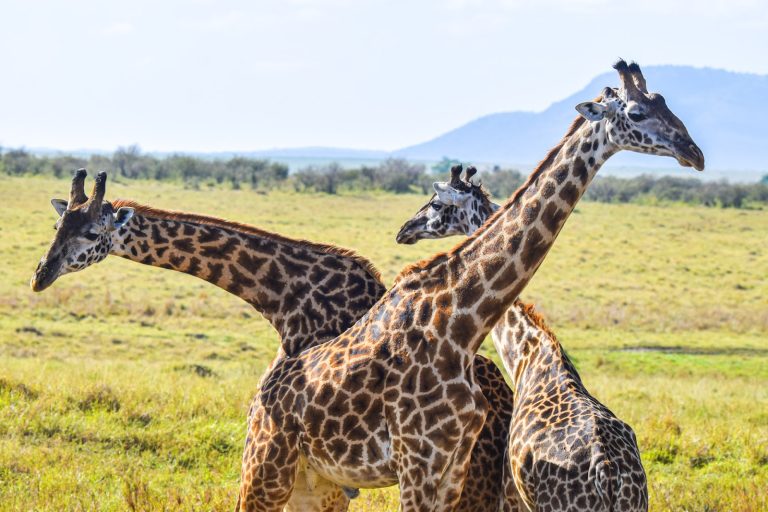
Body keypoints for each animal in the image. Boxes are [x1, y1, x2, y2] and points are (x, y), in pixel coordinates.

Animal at [231, 60, 703, 511]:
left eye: (662, 103)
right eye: (637, 112)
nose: (693, 153)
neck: (462, 322)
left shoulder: (450, 465)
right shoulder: (421, 460)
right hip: (267, 462)